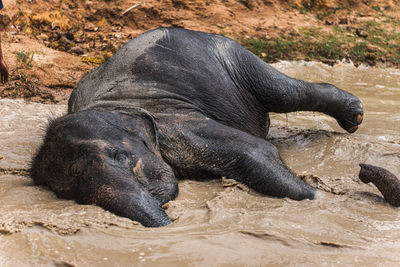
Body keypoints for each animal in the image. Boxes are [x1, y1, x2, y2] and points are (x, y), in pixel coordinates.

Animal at [30, 27, 362, 228]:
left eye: (118, 157)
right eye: (73, 194)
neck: (114, 107)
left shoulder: (176, 123)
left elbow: (256, 153)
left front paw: (321, 203)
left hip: (230, 55)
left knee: (283, 92)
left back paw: (355, 116)